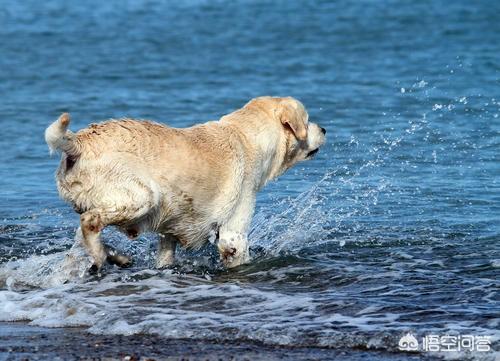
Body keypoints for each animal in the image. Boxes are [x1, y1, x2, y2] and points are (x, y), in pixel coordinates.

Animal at [45, 97, 326, 268]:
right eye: (307, 119)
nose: (324, 130)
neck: (247, 138)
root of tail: (78, 143)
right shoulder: (233, 235)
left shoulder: (169, 233)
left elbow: (165, 255)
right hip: (141, 195)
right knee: (90, 222)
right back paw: (103, 256)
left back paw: (117, 257)